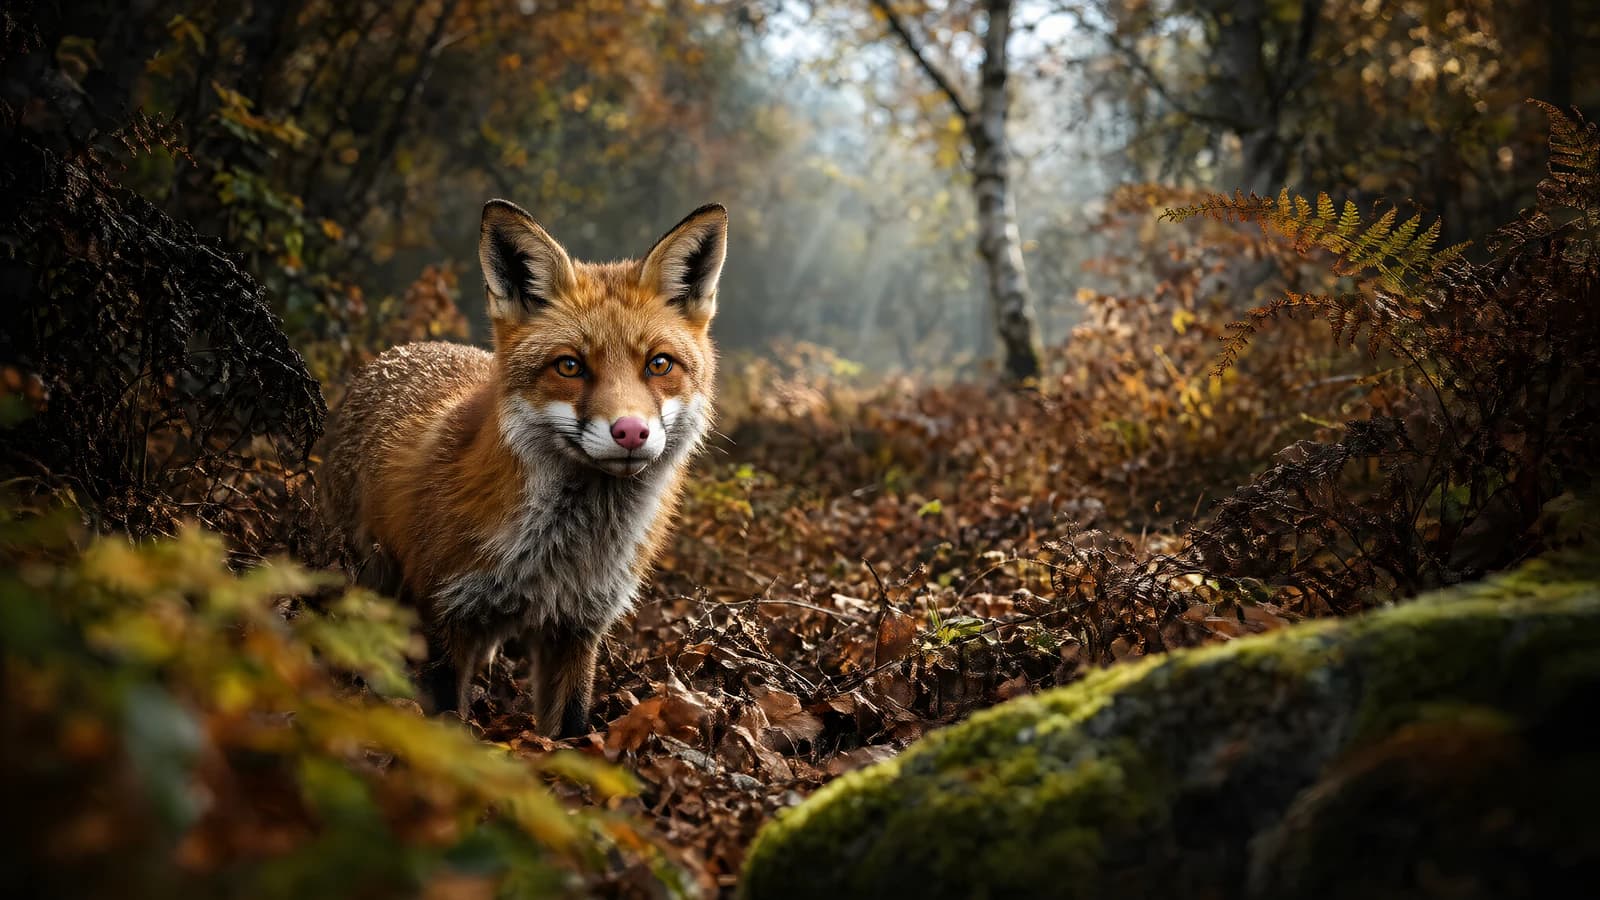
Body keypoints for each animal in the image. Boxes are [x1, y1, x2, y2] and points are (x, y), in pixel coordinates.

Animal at [317, 200, 726, 737]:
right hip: (368, 571)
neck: (557, 558)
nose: (631, 431)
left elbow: (571, 725)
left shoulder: (578, 628)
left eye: (659, 365)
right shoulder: (443, 609)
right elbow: (445, 715)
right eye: (569, 366)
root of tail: (399, 351)